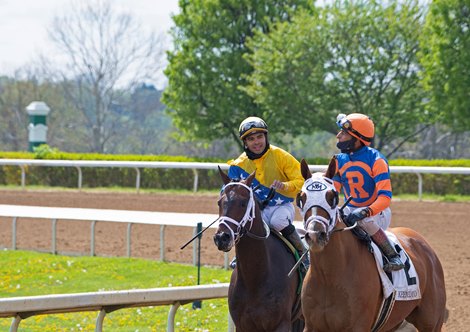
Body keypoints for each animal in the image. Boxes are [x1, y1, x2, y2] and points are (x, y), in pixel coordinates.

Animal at [212, 169, 302, 332]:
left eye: (243, 203)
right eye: (219, 202)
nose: (222, 237)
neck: (255, 278)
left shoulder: (281, 324)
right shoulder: (242, 326)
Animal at [298, 159, 448, 332]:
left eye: (332, 196)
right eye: (301, 197)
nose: (315, 235)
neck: (329, 277)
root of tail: (425, 245)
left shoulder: (358, 326)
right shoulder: (312, 326)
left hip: (432, 322)